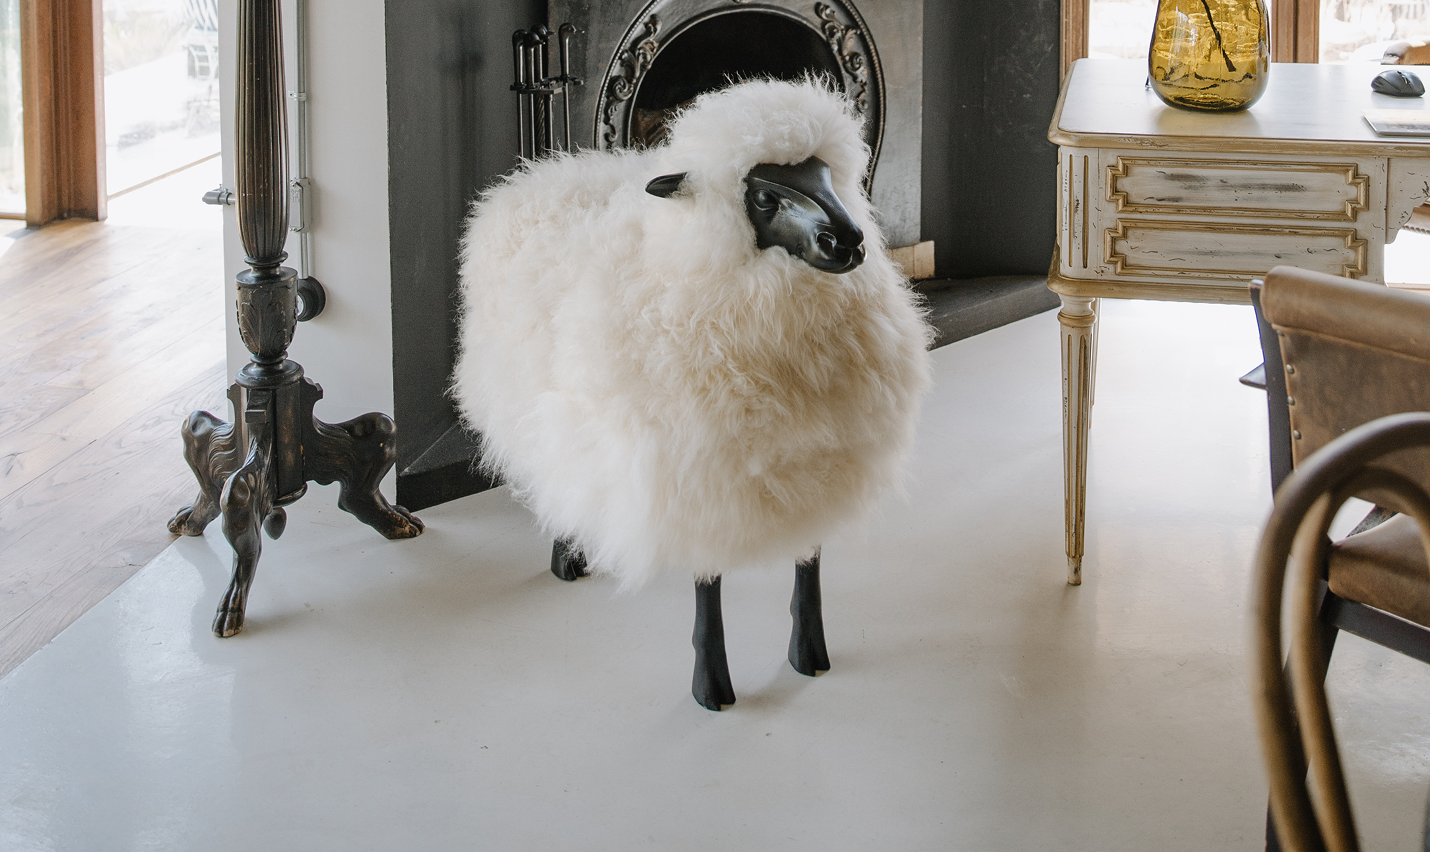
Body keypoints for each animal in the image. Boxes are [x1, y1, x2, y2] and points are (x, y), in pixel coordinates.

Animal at [451, 78, 933, 710]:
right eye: (763, 196)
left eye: (826, 175)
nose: (849, 240)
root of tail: (533, 175)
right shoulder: (698, 470)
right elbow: (709, 585)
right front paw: (712, 685)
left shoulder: (818, 459)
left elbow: (808, 564)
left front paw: (809, 653)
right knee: (555, 475)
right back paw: (567, 557)